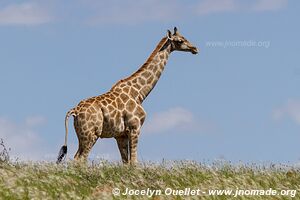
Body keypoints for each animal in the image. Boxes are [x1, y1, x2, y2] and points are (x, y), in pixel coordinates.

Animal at [57, 27, 198, 164]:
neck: (139, 93)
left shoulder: (121, 135)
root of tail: (74, 110)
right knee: (81, 159)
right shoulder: (134, 128)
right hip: (92, 133)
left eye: (185, 37)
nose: (195, 48)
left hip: (82, 135)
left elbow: (125, 163)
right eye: (180, 40)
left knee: (76, 158)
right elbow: (134, 162)